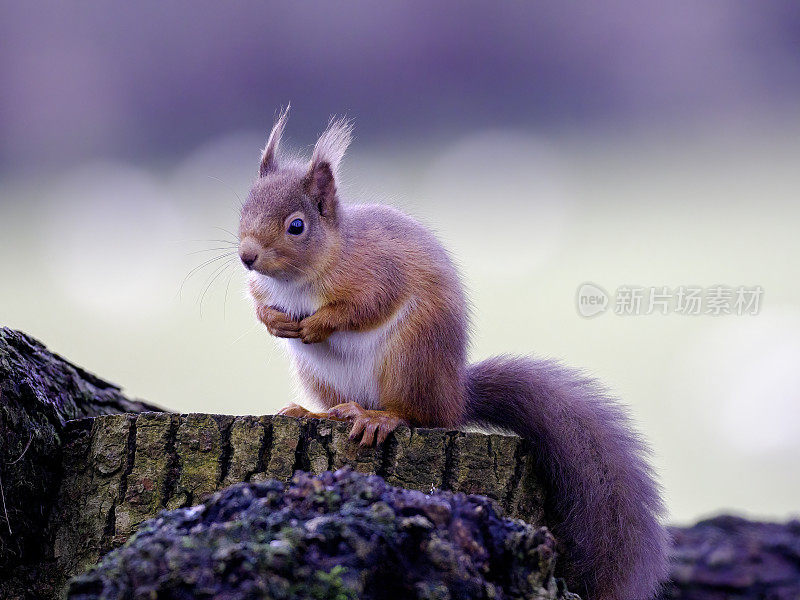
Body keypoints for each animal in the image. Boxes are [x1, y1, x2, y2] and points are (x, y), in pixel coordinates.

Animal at [238, 108, 668, 600]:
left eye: (297, 226)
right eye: (243, 209)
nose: (247, 256)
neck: (308, 274)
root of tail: (457, 395)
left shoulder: (377, 273)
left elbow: (363, 308)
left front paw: (317, 323)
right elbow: (259, 302)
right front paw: (274, 321)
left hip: (412, 359)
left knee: (420, 415)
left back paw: (378, 417)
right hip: (323, 376)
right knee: (344, 406)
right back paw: (315, 413)